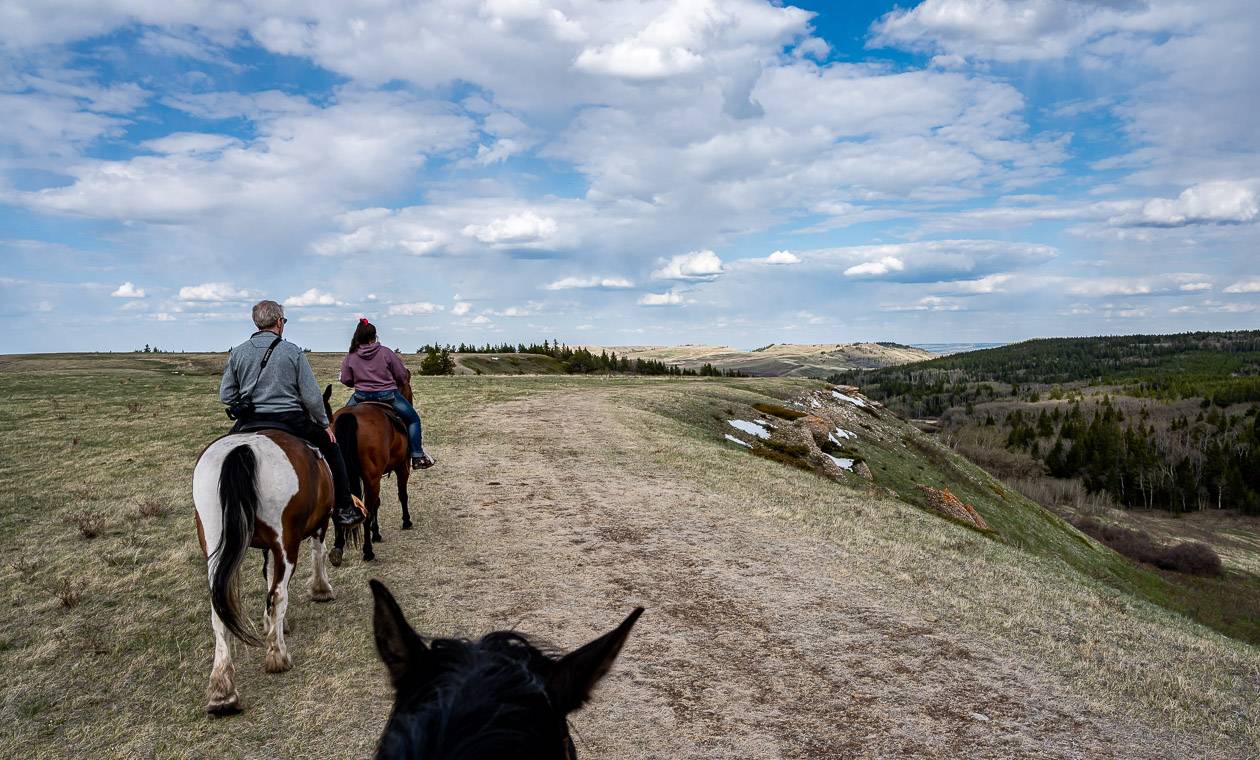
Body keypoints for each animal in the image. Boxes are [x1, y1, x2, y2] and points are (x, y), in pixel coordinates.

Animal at [189, 431, 352, 715]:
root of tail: (243, 449)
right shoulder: (319, 525)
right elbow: (317, 554)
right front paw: (321, 589)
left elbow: (266, 573)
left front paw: (272, 624)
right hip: (286, 542)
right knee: (278, 594)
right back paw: (278, 656)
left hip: (212, 539)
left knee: (219, 609)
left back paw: (222, 692)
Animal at [327, 380, 415, 564]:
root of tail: (350, 416)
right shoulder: (402, 467)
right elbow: (402, 495)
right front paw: (406, 521)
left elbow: (377, 503)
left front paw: (377, 533)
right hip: (372, 478)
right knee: (366, 511)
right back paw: (368, 551)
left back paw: (338, 548)